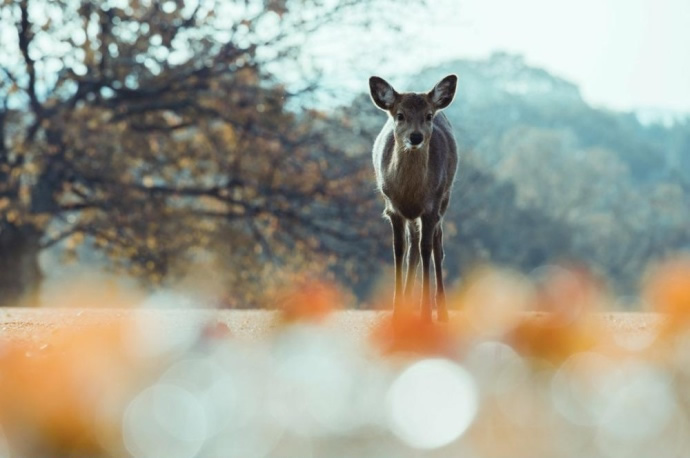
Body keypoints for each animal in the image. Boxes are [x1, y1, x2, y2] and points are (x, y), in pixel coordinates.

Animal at [366, 74, 456, 322]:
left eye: (428, 115)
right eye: (400, 115)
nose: (415, 136)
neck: (411, 192)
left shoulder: (431, 207)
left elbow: (428, 249)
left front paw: (425, 313)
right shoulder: (393, 209)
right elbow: (399, 250)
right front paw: (397, 311)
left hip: (445, 198)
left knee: (436, 247)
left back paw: (441, 311)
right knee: (413, 248)